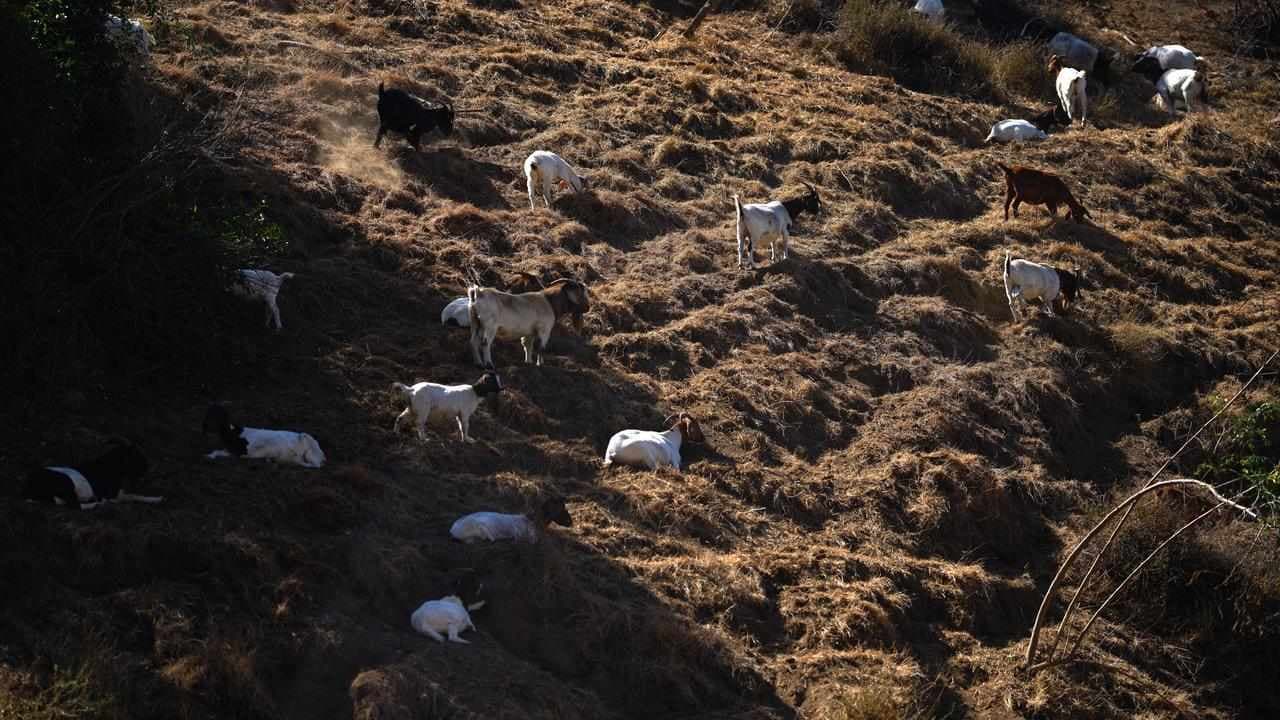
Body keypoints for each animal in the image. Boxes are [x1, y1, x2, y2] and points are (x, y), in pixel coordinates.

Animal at [23, 440, 161, 510]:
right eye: (138, 457)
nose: (148, 467)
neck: (110, 467)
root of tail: (28, 487)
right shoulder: (112, 494)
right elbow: (133, 495)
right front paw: (157, 499)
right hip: (66, 484)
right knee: (75, 505)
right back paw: (97, 503)